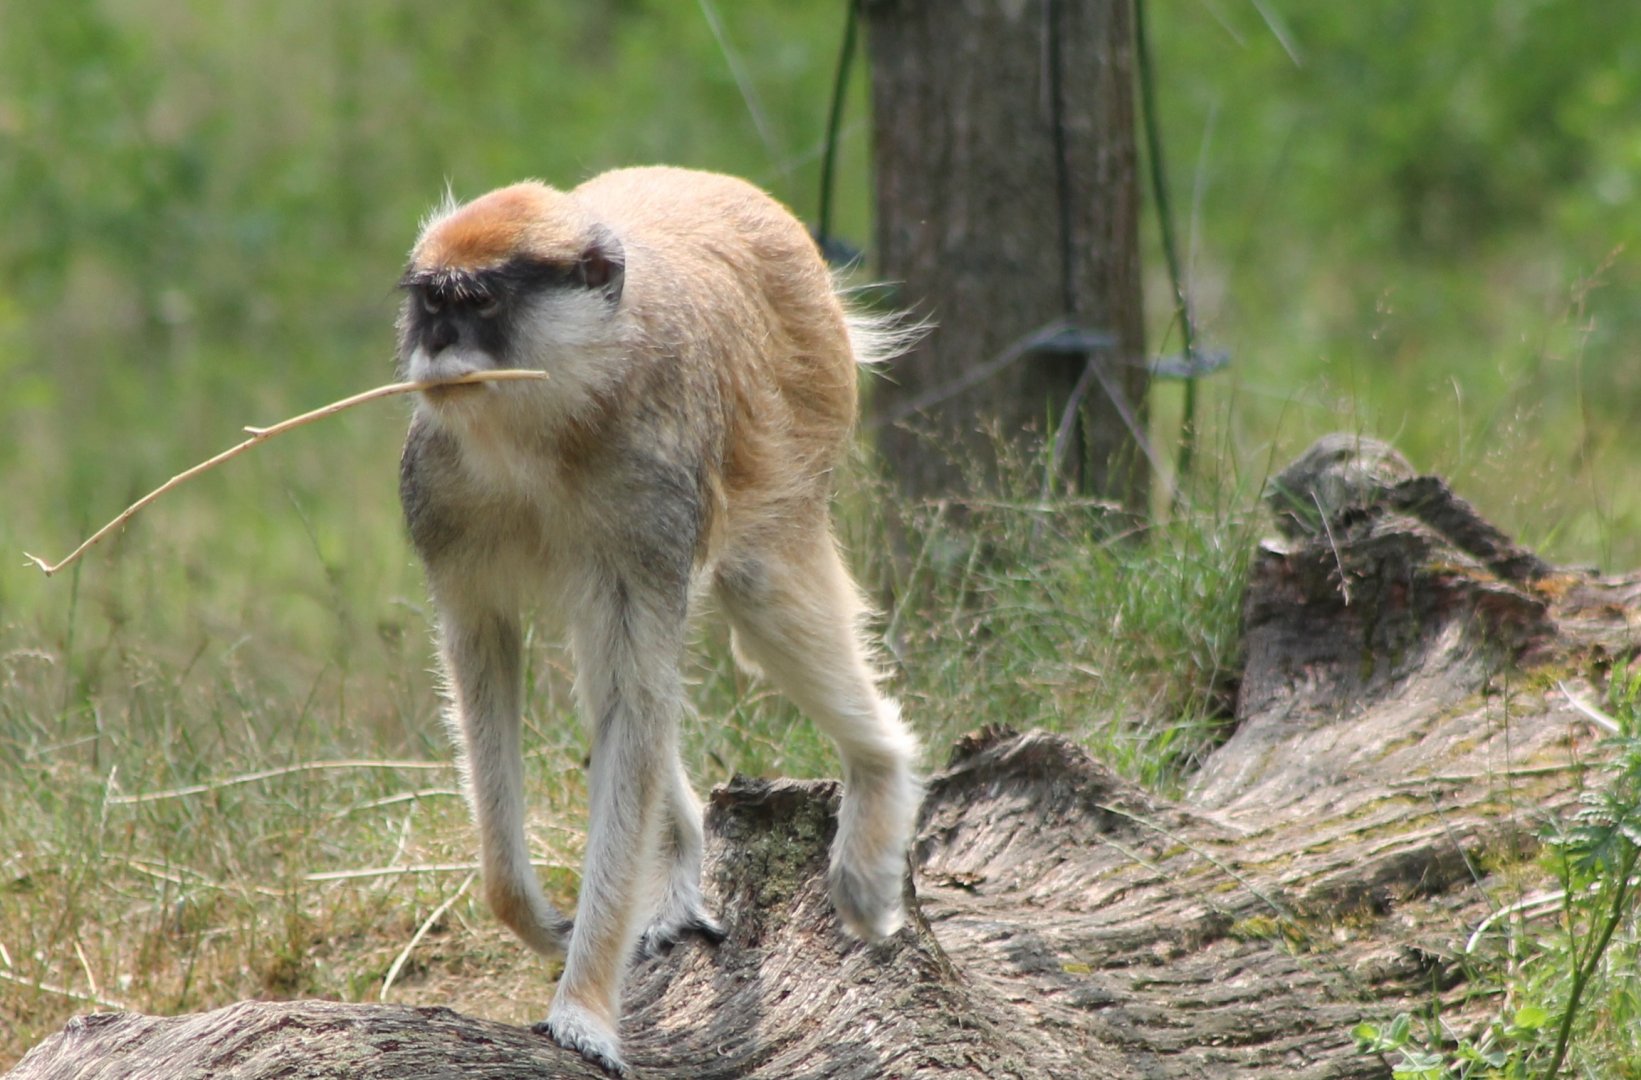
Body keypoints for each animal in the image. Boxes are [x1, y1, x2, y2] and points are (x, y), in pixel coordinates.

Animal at [394, 166, 923, 1076]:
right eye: (432, 304)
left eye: (483, 303)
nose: (436, 346)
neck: (552, 416)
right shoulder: (443, 494)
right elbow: (485, 663)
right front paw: (531, 913)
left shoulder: (649, 503)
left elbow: (629, 708)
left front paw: (582, 1011)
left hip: (807, 404)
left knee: (761, 595)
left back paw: (880, 775)